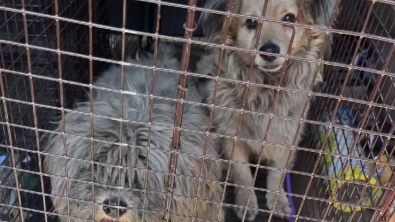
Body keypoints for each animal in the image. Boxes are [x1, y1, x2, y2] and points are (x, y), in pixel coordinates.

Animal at [198, 0, 338, 219]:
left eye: (289, 18)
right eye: (251, 22)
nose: (269, 50)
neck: (267, 89)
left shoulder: (286, 139)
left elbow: (276, 174)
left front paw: (278, 201)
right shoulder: (232, 138)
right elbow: (243, 175)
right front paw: (246, 202)